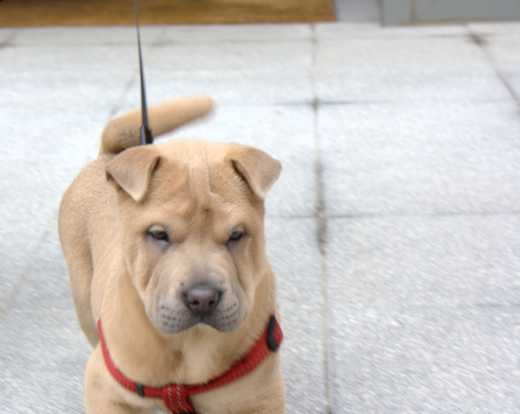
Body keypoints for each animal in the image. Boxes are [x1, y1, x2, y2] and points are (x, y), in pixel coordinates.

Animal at [59, 96, 286, 414]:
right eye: (158, 234)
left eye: (236, 235)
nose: (202, 298)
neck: (189, 345)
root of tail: (110, 155)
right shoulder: (104, 389)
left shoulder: (261, 398)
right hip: (82, 299)